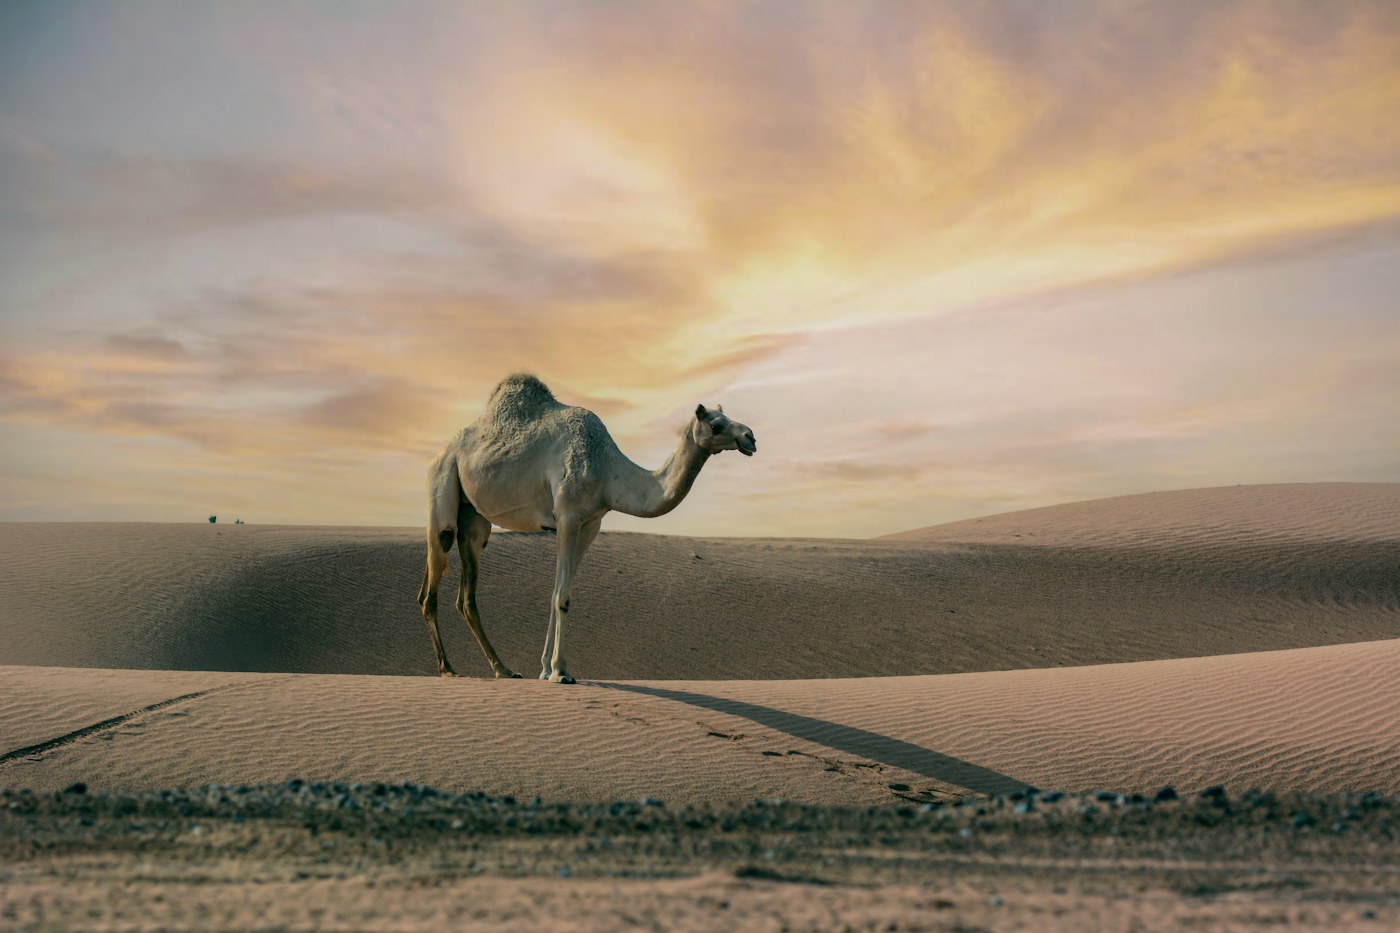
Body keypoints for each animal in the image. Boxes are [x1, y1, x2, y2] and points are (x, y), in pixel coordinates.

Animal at [417, 373, 757, 683]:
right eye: (716, 425)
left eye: (727, 417)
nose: (750, 437)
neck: (606, 469)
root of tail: (440, 453)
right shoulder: (567, 516)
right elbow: (563, 597)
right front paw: (559, 672)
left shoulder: (591, 523)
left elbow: (556, 592)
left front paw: (545, 668)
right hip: (443, 482)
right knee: (432, 579)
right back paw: (449, 669)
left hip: (474, 518)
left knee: (465, 596)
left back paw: (504, 669)